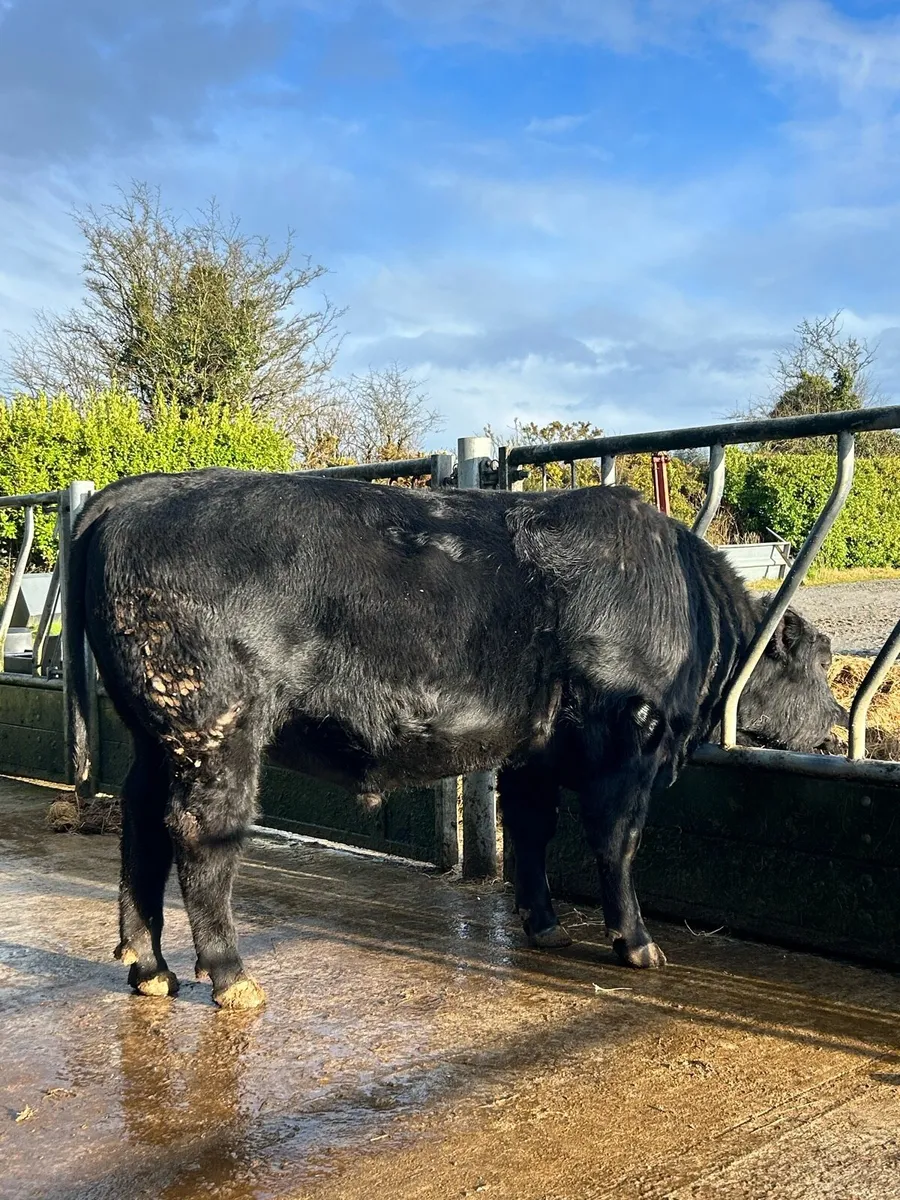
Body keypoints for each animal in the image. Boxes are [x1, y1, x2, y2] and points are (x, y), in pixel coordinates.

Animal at [66, 469, 847, 1009]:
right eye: (819, 658)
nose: (840, 723)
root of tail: (137, 492)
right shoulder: (629, 747)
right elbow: (615, 844)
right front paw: (638, 944)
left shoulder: (535, 753)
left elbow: (531, 832)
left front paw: (545, 926)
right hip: (215, 729)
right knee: (201, 836)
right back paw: (231, 977)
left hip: (155, 738)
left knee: (141, 828)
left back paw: (151, 968)